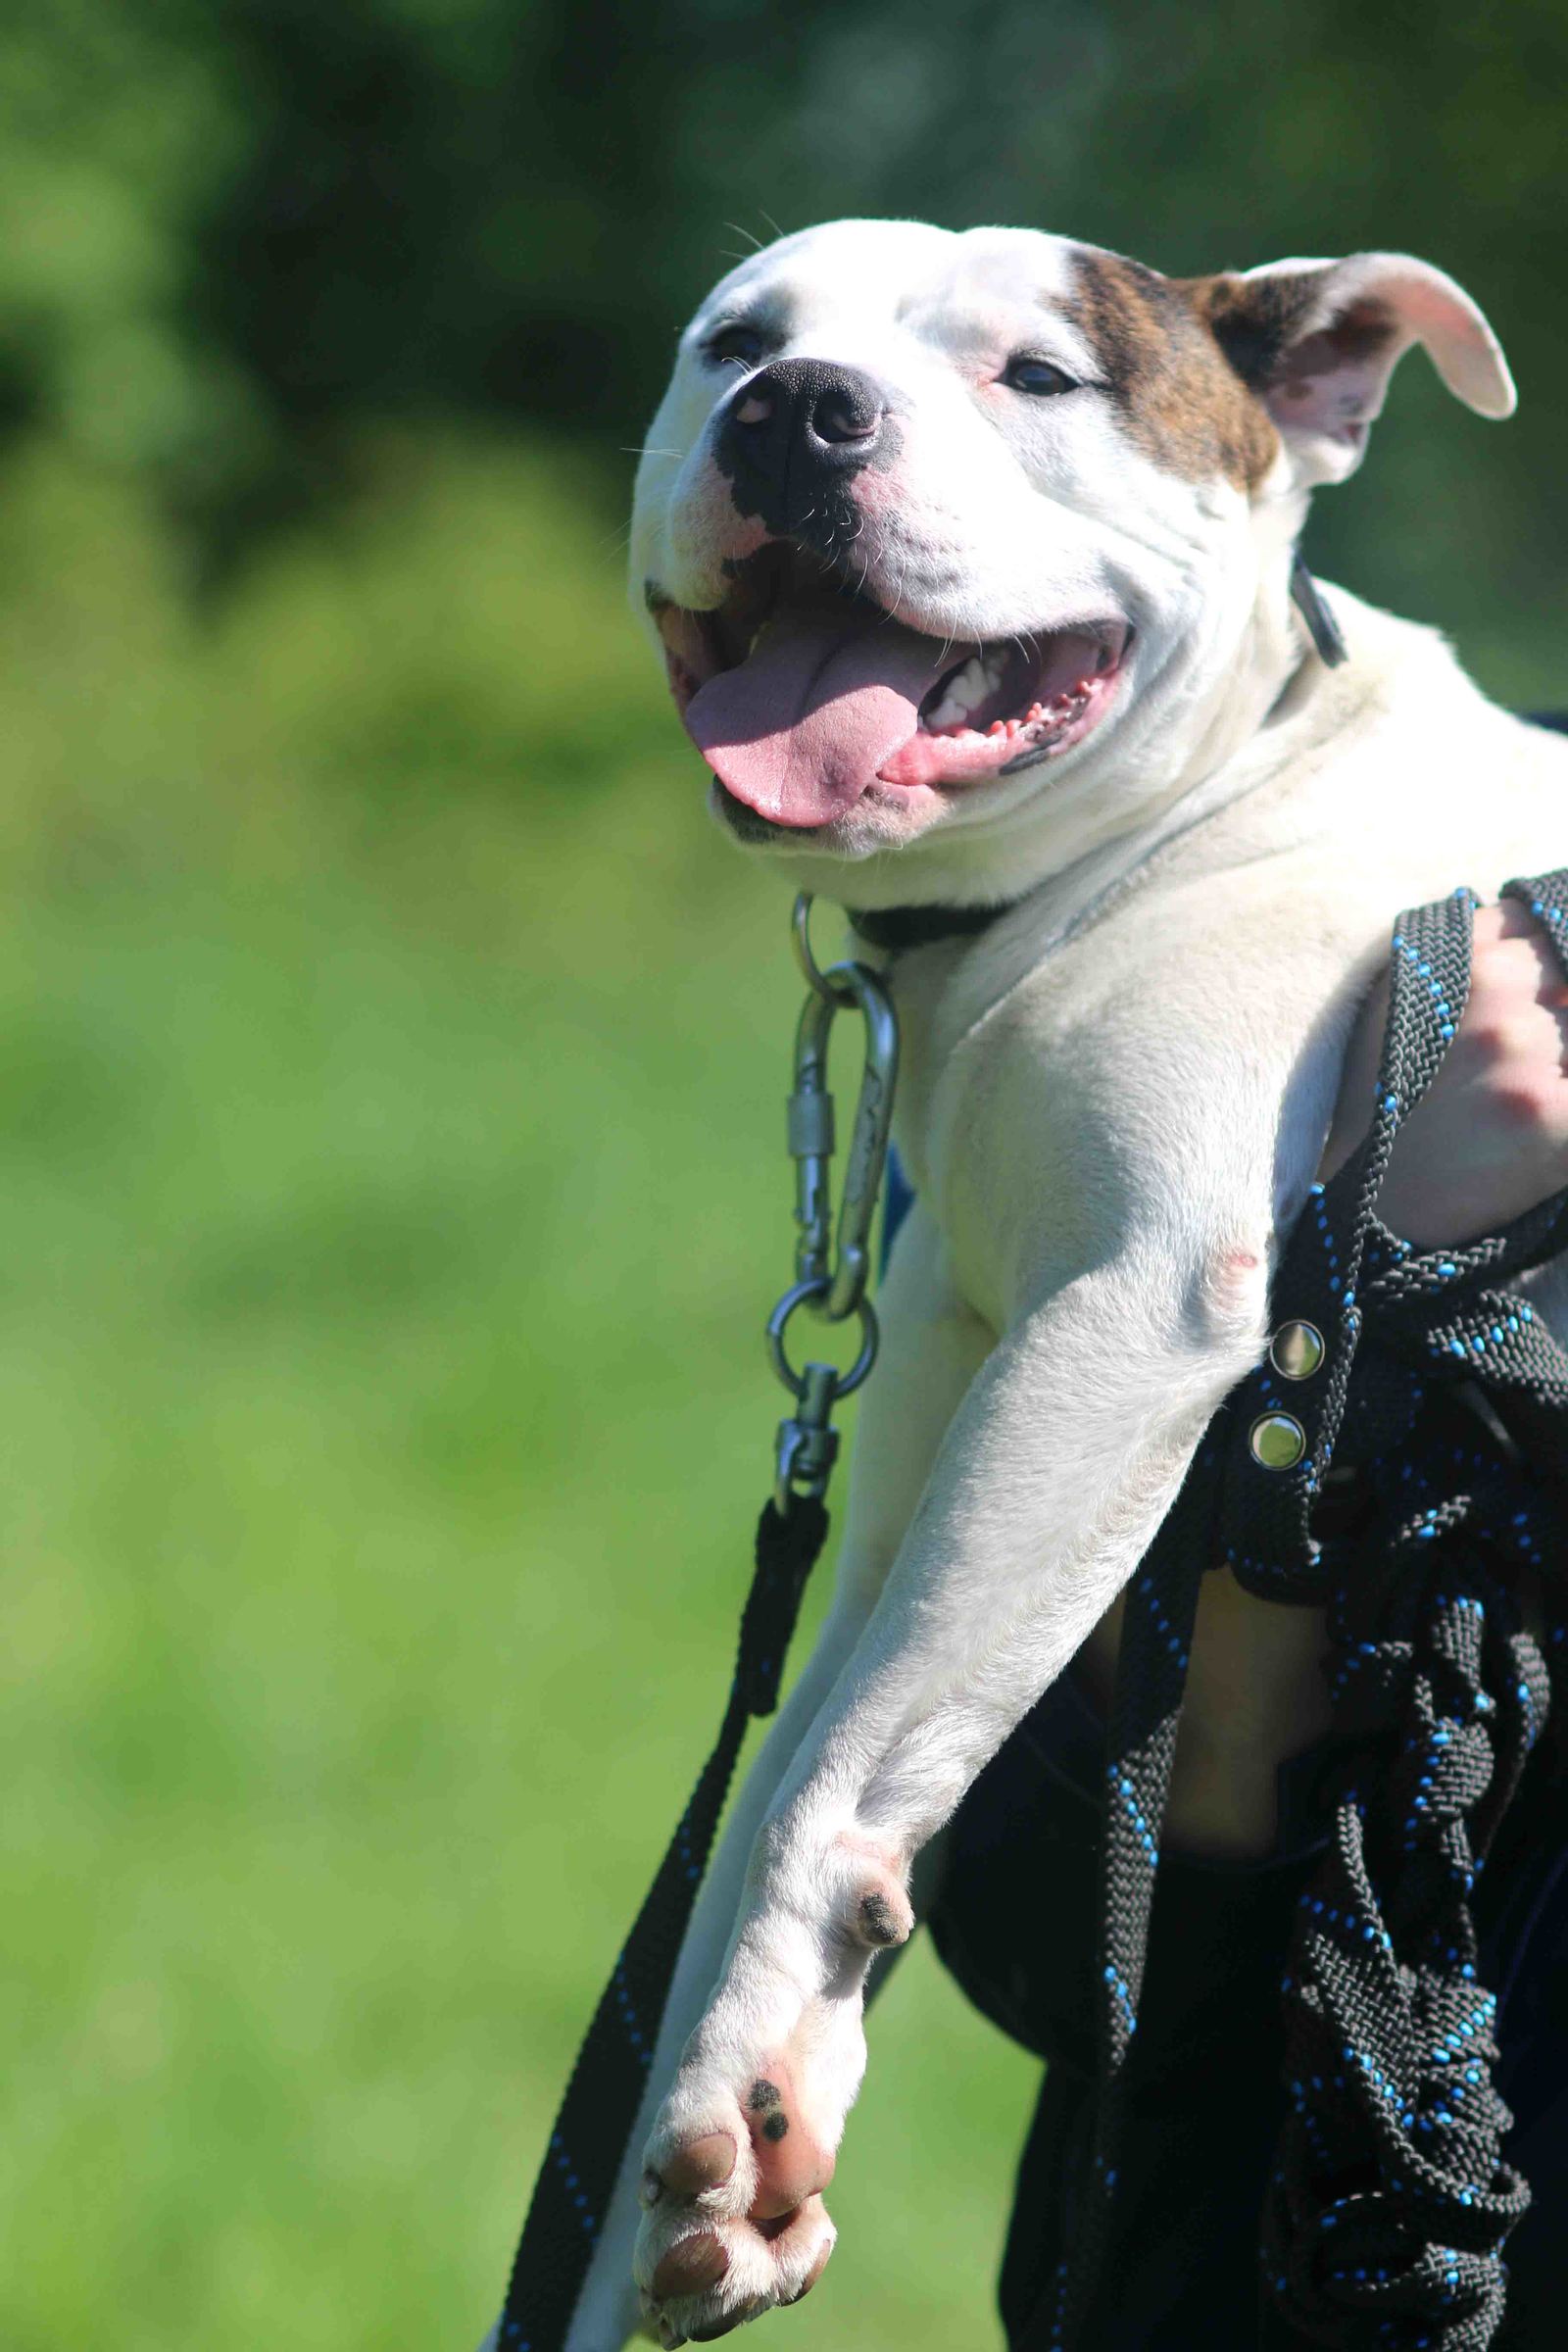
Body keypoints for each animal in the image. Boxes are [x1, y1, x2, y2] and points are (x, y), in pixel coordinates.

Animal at [533, 216, 1560, 2332]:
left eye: (1039, 376)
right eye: (734, 342)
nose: (797, 411)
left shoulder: (1119, 1330)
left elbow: (833, 1777)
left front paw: (751, 2063)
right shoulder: (936, 1406)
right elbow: (789, 1768)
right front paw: (715, 2129)